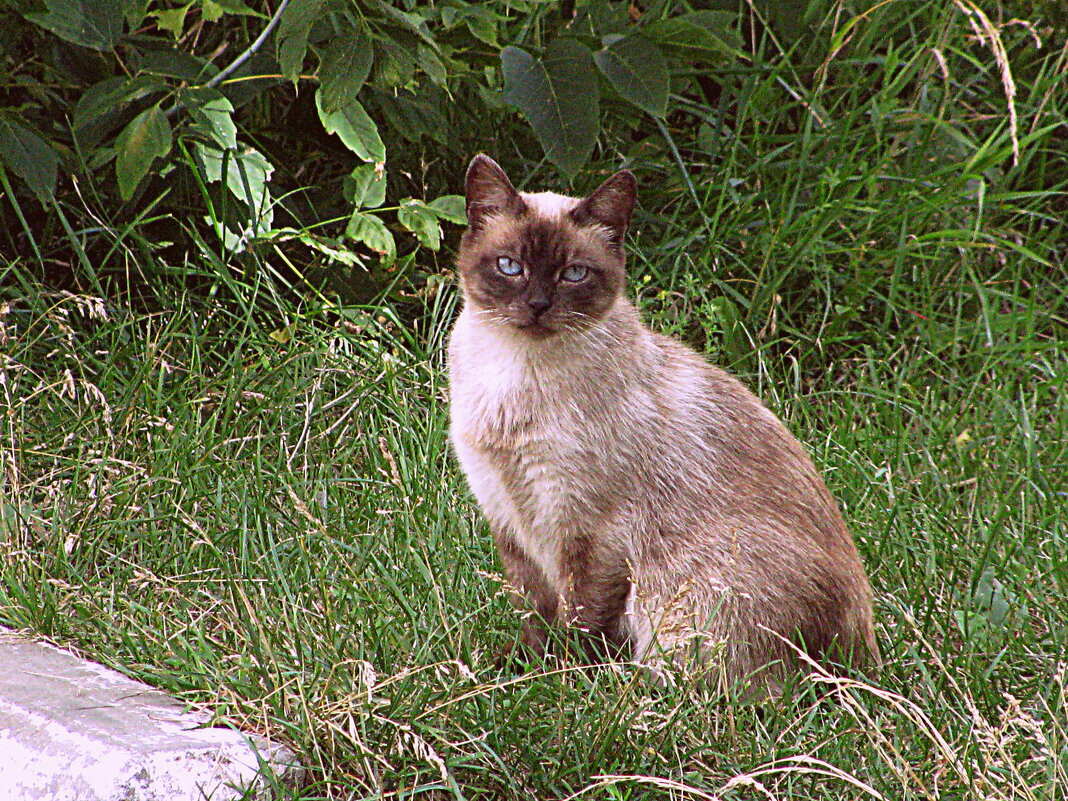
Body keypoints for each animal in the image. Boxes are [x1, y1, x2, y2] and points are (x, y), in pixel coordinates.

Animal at [446, 154, 871, 692]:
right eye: (510, 267)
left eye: (574, 274)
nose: (539, 306)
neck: (514, 373)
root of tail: (863, 661)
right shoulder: (506, 514)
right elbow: (534, 612)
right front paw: (519, 670)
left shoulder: (589, 528)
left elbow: (581, 619)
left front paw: (560, 682)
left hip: (687, 604)